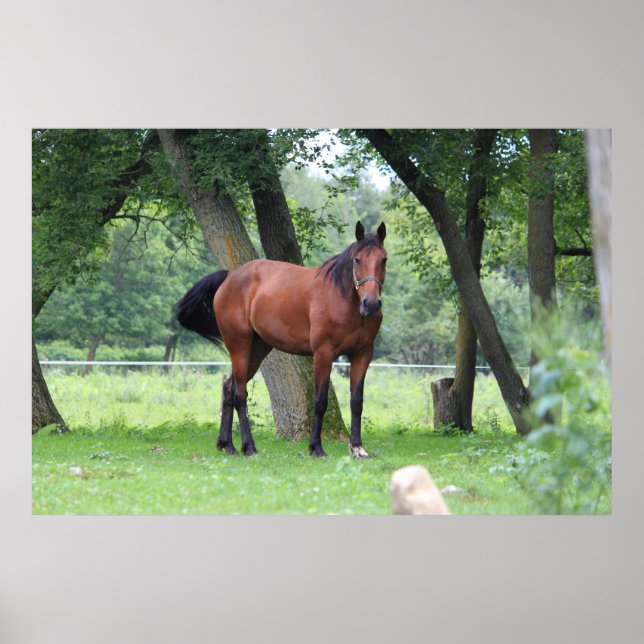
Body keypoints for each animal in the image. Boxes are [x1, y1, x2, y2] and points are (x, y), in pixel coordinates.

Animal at [176, 220, 387, 458]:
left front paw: (358, 448)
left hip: (257, 349)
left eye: (384, 259)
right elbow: (319, 402)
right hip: (239, 346)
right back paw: (249, 446)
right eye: (358, 260)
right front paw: (316, 448)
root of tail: (230, 277)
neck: (343, 299)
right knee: (240, 394)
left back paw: (227, 445)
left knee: (229, 388)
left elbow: (356, 402)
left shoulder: (362, 354)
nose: (371, 303)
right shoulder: (323, 354)